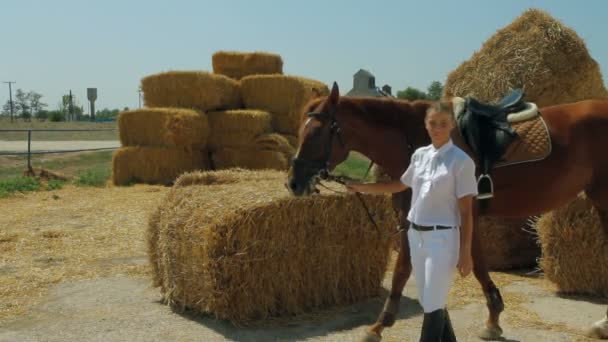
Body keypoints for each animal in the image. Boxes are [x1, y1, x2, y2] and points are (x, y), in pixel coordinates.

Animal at [288, 82, 608, 340]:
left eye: (316, 132)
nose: (294, 182)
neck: (418, 140)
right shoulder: (422, 218)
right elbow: (439, 266)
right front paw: (493, 319)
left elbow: (428, 267)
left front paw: (379, 325)